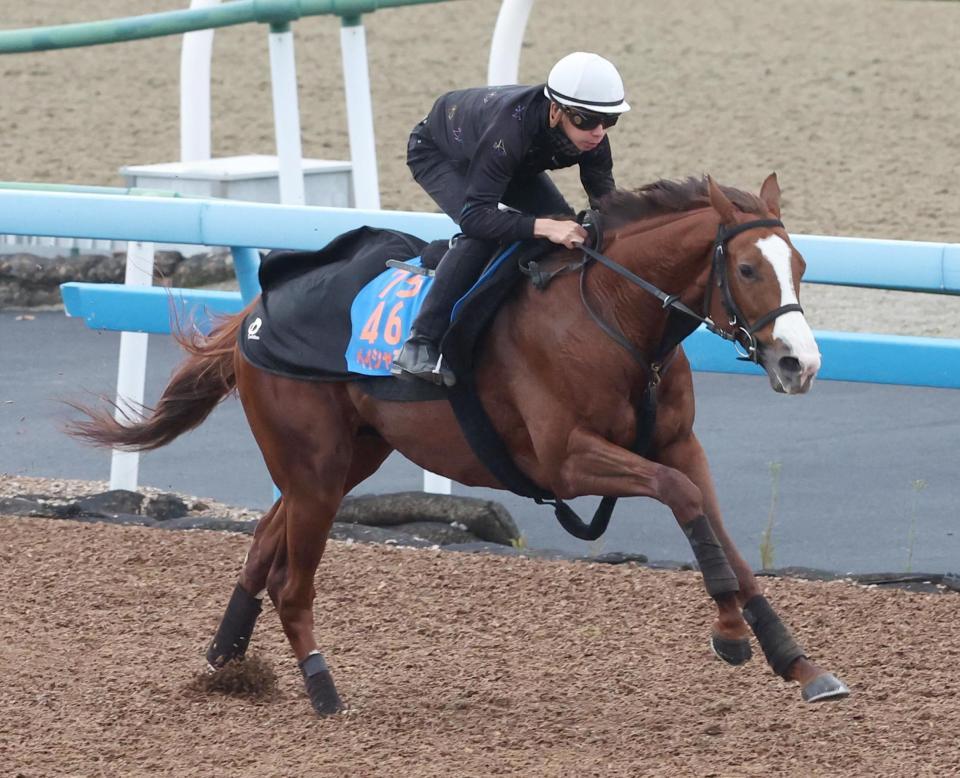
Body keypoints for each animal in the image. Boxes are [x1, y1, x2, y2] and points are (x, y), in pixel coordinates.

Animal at [69, 176, 848, 716]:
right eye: (747, 269)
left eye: (802, 263)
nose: (799, 364)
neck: (614, 316)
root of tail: (256, 312)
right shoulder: (566, 460)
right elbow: (684, 502)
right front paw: (729, 632)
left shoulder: (681, 444)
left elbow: (720, 533)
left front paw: (796, 661)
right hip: (316, 469)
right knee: (291, 578)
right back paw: (321, 689)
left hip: (347, 458)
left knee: (264, 540)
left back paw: (225, 665)